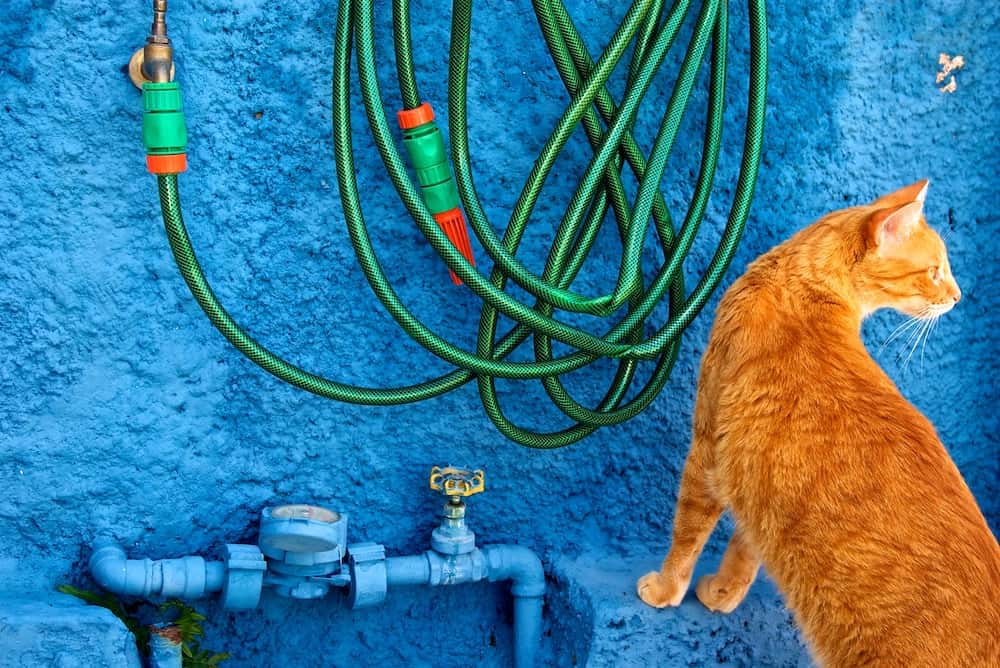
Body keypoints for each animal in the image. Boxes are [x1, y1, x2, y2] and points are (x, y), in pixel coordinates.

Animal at [640, 180, 1000, 664]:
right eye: (935, 271)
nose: (958, 296)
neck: (805, 293)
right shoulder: (757, 478)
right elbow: (745, 550)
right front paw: (724, 593)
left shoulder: (707, 448)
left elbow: (686, 535)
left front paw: (665, 589)